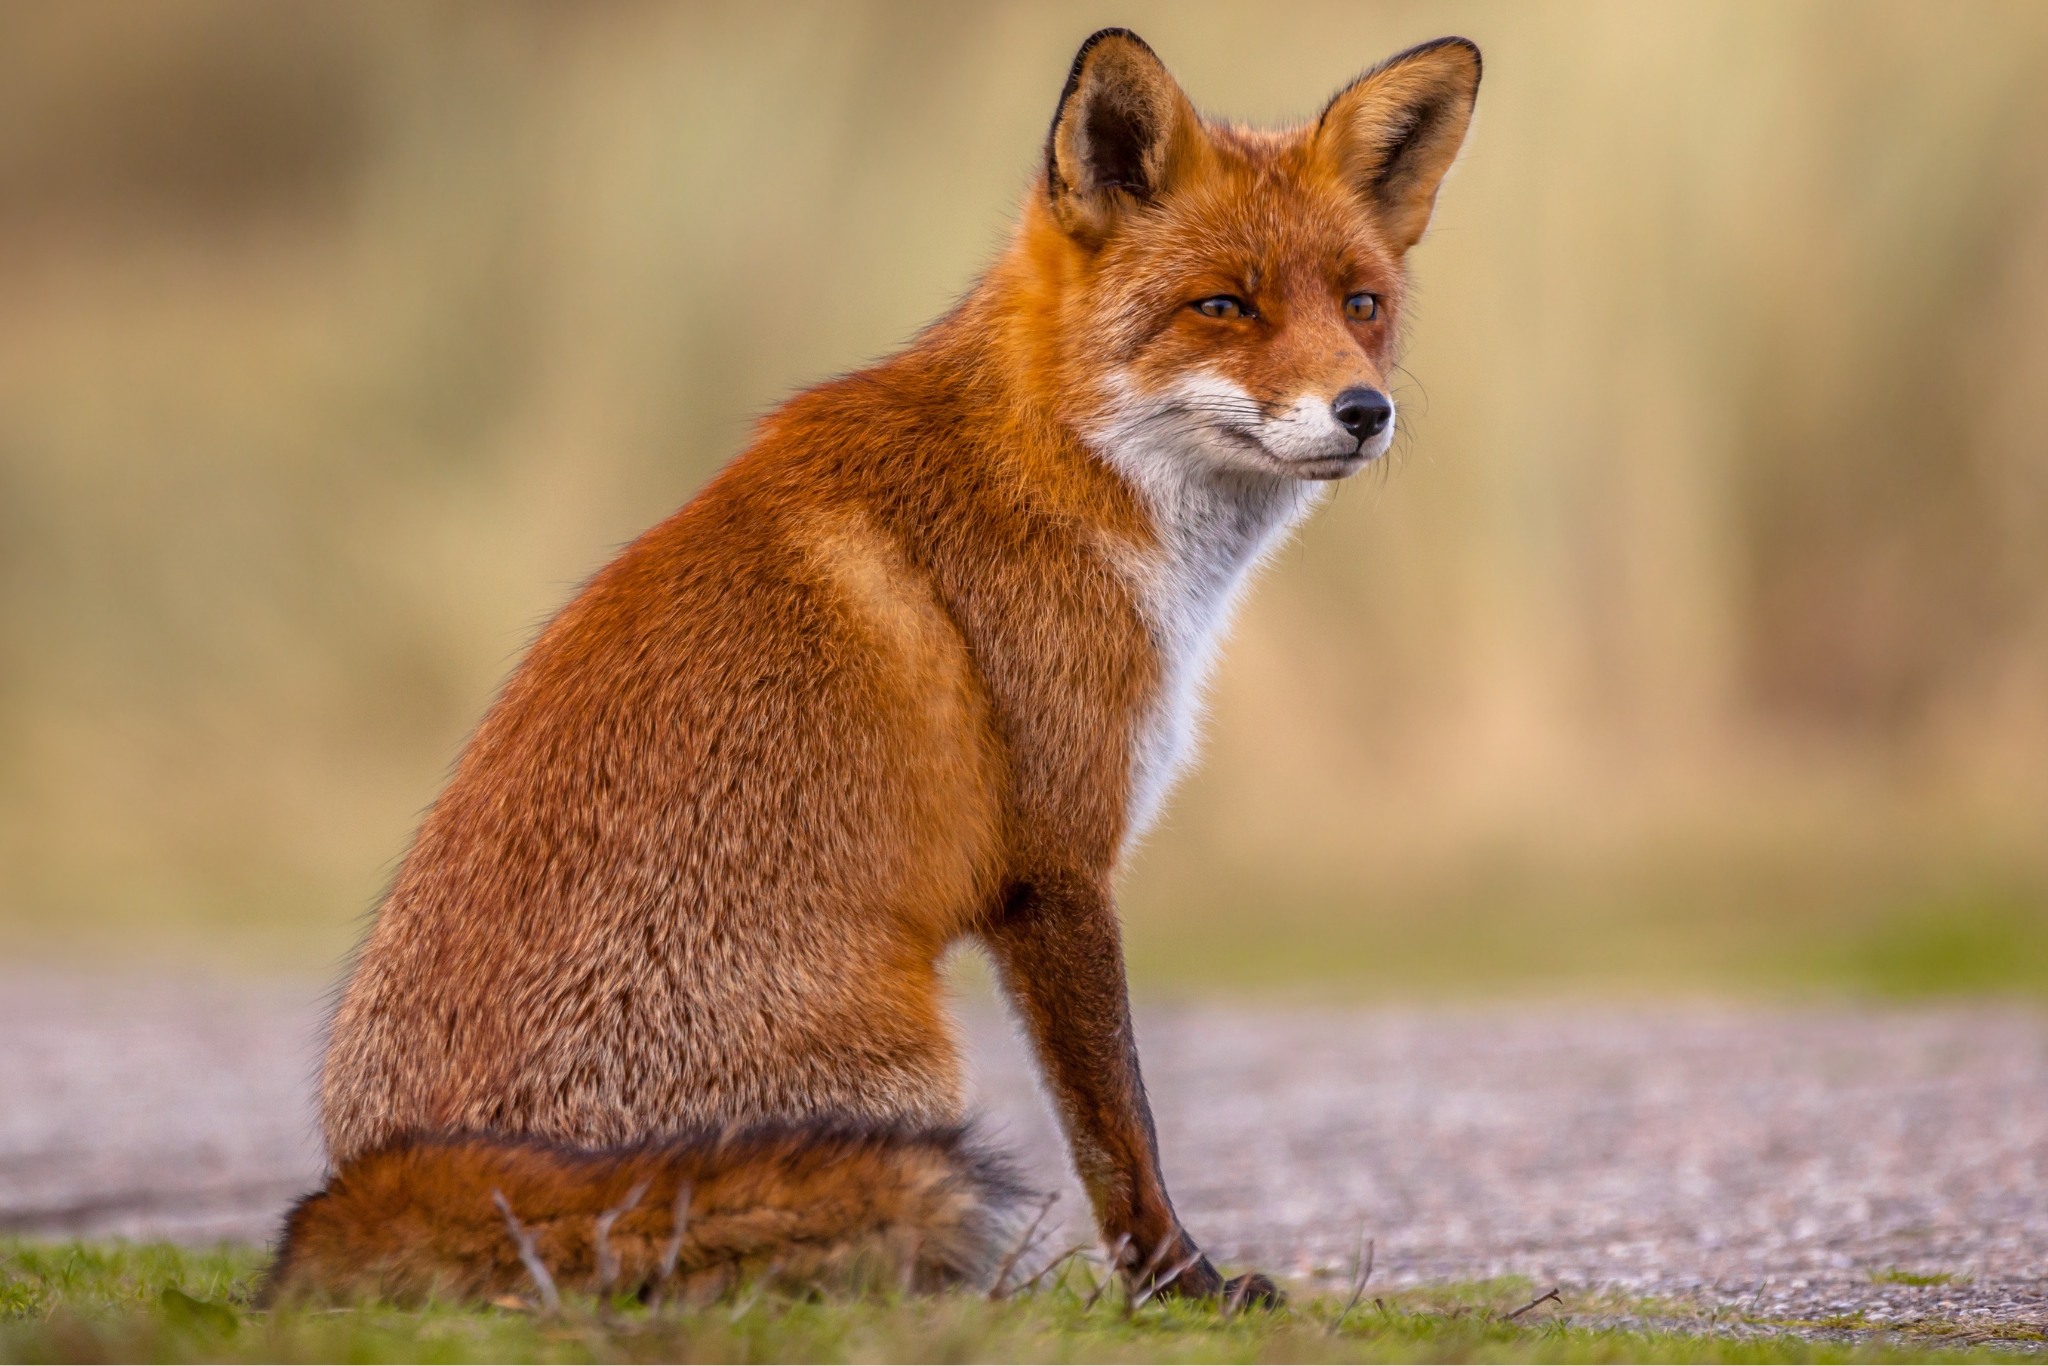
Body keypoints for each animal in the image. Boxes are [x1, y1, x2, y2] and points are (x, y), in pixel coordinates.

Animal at [267, 28, 1480, 1307]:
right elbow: (1120, 1127)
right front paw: (1176, 1285)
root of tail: (402, 1171)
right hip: (914, 1071)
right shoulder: (1054, 865)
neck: (1057, 466)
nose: (1363, 409)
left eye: (1359, 305)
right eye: (1222, 306)